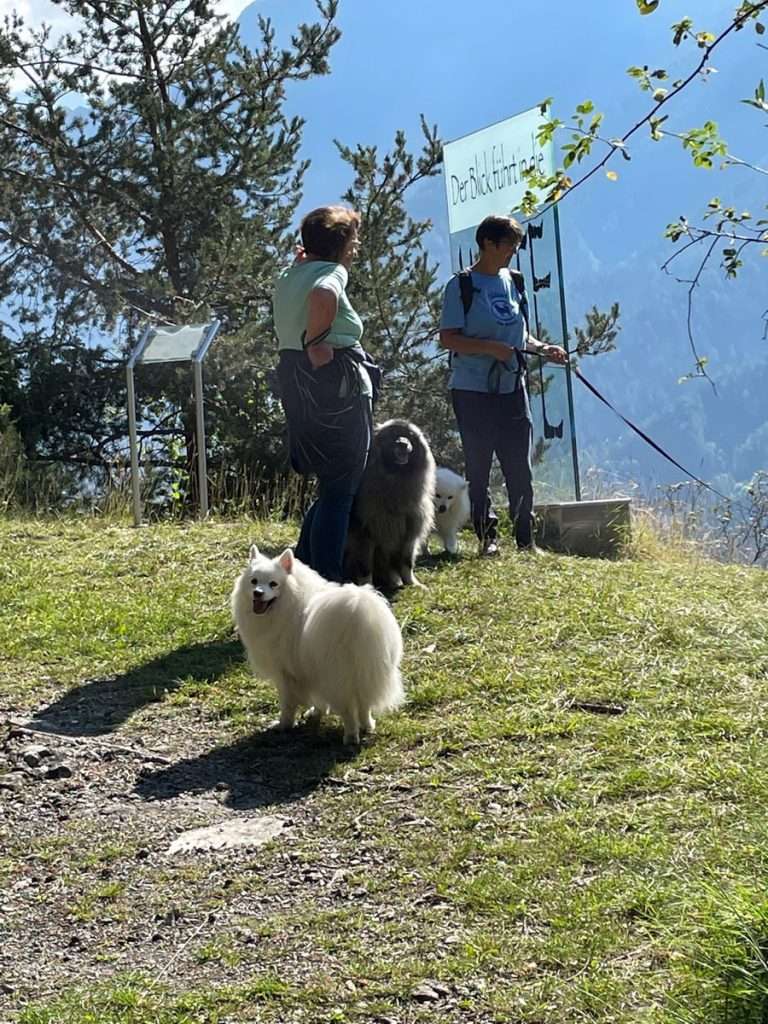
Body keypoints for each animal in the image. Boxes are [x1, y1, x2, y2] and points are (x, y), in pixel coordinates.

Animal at [231, 544, 405, 745]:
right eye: (254, 581)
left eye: (273, 584)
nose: (258, 593)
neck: (291, 601)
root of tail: (358, 616)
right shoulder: (309, 669)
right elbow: (318, 698)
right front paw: (315, 712)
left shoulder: (286, 674)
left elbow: (288, 704)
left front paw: (283, 725)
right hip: (366, 671)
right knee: (364, 703)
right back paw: (367, 725)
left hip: (338, 676)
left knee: (348, 710)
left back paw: (351, 736)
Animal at [344, 417, 436, 593]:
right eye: (393, 435)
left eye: (410, 436)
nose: (403, 443)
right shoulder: (365, 536)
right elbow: (365, 567)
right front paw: (368, 588)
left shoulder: (409, 536)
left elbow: (407, 564)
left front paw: (412, 584)